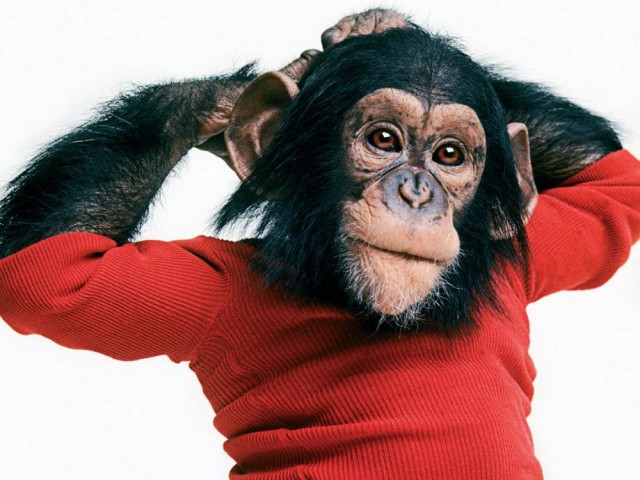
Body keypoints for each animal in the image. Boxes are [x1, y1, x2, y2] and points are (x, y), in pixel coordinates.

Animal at [0, 9, 638, 480]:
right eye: (384, 140)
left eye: (450, 155)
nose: (416, 192)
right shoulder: (210, 289)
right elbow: (51, 273)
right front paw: (243, 94)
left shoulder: (527, 260)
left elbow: (613, 193)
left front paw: (373, 25)